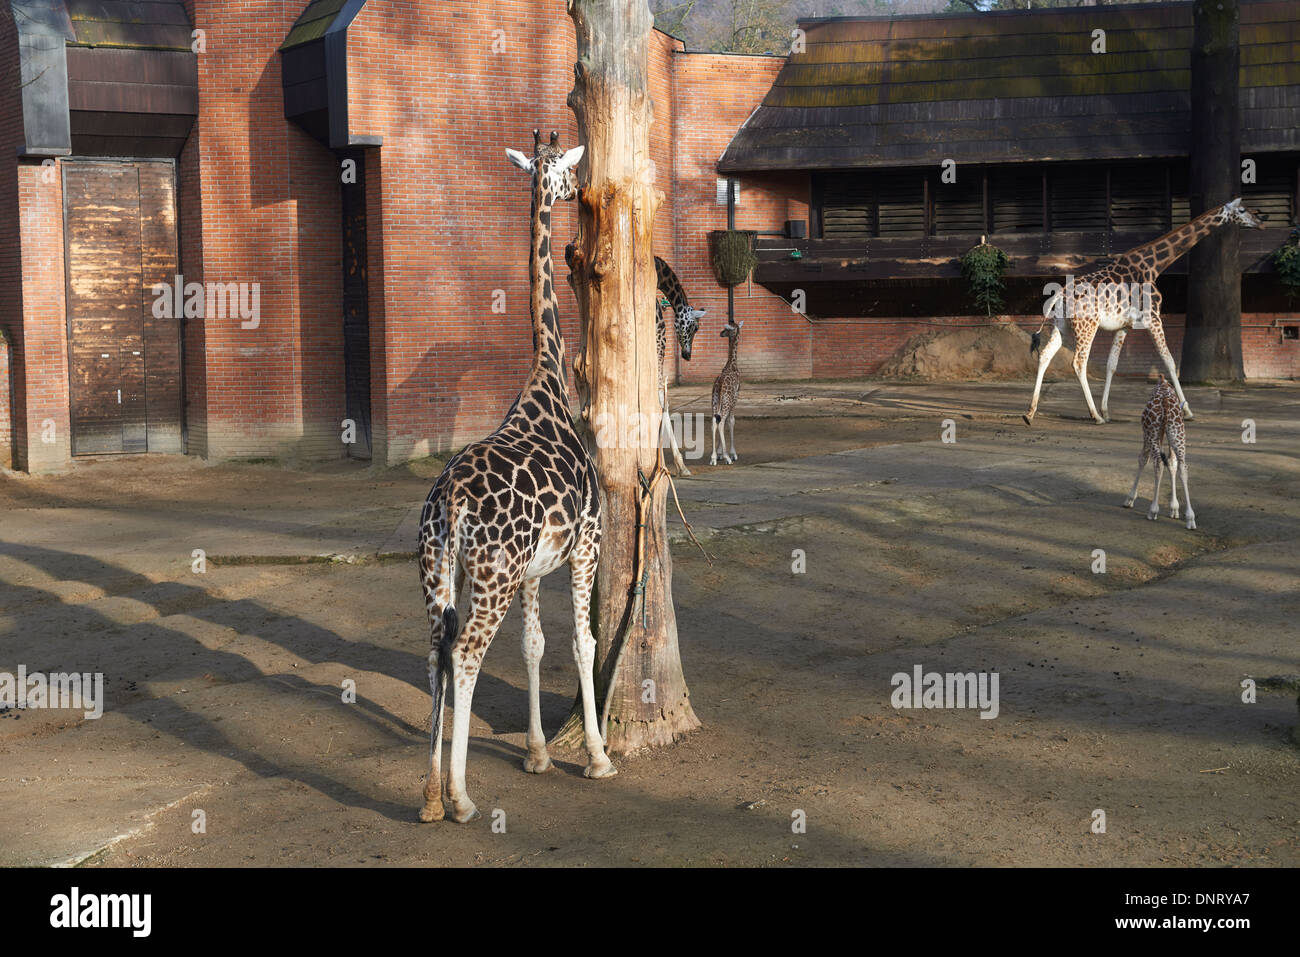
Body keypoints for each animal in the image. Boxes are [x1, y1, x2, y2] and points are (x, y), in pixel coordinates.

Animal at [418, 130, 616, 826]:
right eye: (558, 170)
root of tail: (450, 501)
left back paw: (430, 797)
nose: (577, 189)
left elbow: (534, 645)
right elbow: (582, 643)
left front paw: (536, 753)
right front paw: (597, 757)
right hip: (492, 575)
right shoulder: (586, 545)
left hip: (440, 572)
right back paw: (460, 797)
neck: (549, 376)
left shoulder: (537, 565)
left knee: (437, 651)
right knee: (467, 655)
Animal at [1019, 197, 1263, 426]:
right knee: (1079, 362)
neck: (1153, 266)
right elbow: (1170, 361)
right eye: (1242, 210)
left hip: (1062, 327)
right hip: (1087, 326)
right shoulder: (1153, 318)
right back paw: (1094, 416)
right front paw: (1187, 411)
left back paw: (1030, 413)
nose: (1260, 221)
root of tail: (1059, 296)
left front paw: (1107, 411)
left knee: (1045, 355)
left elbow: (1112, 365)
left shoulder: (1124, 326)